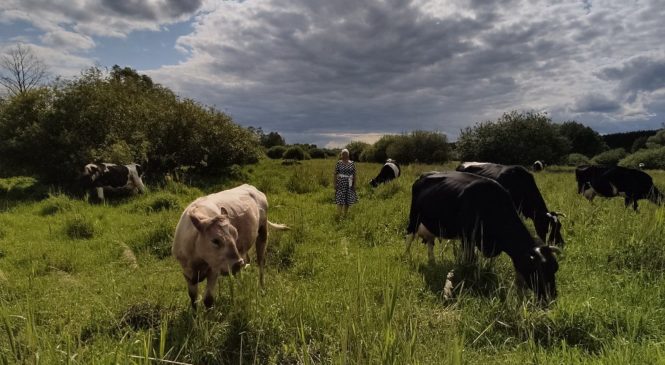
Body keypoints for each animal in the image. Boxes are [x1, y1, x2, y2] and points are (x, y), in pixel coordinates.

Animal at [404, 171, 560, 302]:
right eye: (537, 271)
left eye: (555, 268)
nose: (551, 298)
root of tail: (424, 175)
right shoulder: (467, 238)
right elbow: (470, 261)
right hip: (414, 219)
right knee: (408, 238)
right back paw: (407, 257)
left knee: (430, 243)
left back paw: (432, 262)